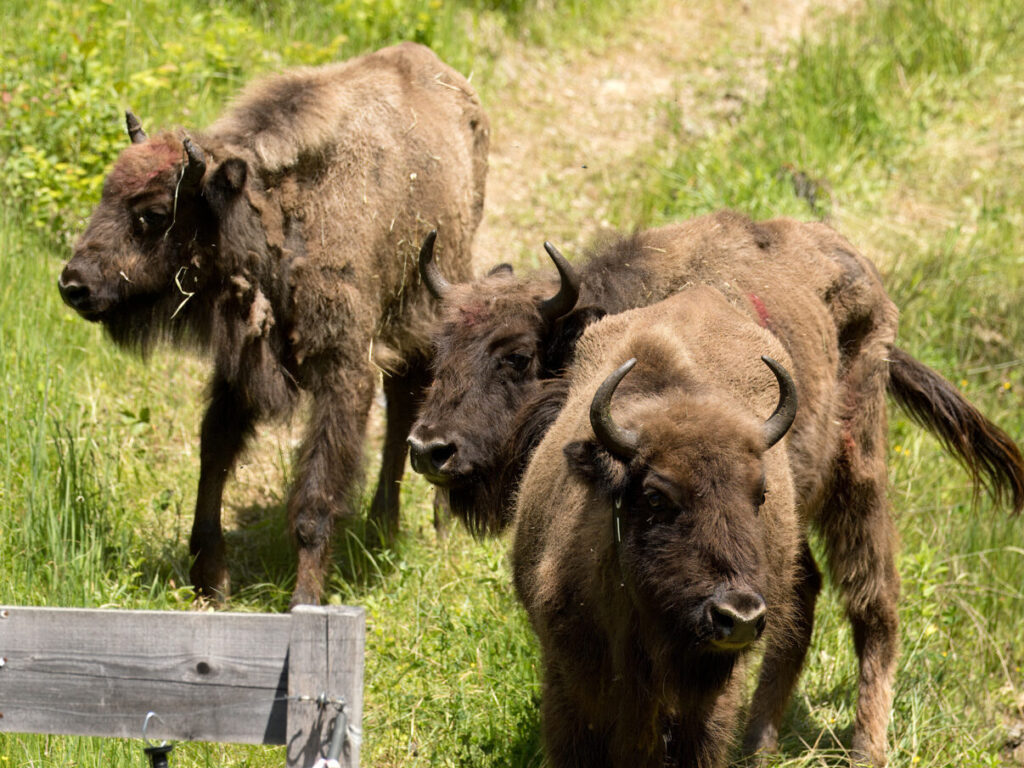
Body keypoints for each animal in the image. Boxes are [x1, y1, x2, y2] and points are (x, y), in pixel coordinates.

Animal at [59, 41, 491, 606]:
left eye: (153, 213)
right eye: (106, 192)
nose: (74, 284)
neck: (277, 213)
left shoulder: (343, 372)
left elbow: (315, 496)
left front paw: (304, 598)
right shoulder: (240, 367)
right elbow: (214, 454)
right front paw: (209, 583)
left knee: (415, 399)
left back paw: (437, 524)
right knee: (402, 404)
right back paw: (382, 526)